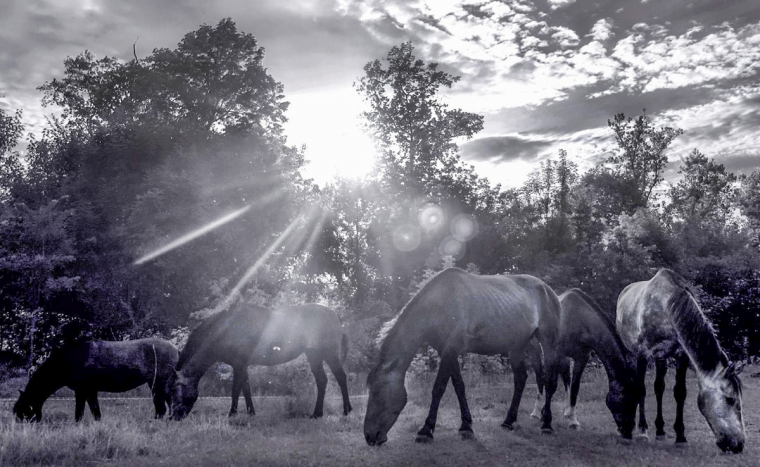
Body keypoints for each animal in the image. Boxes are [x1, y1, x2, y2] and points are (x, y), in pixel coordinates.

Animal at [12, 338, 179, 422]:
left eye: (23, 414)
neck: (69, 360)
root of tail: (175, 349)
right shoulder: (89, 392)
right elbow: (95, 412)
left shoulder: (82, 391)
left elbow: (80, 413)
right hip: (155, 384)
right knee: (162, 407)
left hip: (161, 383)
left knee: (168, 404)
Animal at [169, 304, 350, 420]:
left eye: (175, 391)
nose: (172, 417)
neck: (227, 328)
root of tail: (335, 315)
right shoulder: (240, 366)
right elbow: (246, 388)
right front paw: (250, 412)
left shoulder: (239, 364)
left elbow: (236, 389)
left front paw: (232, 413)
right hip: (314, 355)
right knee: (322, 381)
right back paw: (317, 414)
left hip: (329, 354)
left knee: (341, 377)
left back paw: (346, 410)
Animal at [362, 266, 564, 446]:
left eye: (377, 392)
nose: (369, 436)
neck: (439, 305)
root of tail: (548, 290)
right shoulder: (447, 351)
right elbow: (459, 386)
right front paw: (466, 427)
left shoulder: (451, 350)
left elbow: (439, 388)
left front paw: (426, 431)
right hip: (518, 345)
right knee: (520, 379)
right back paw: (508, 422)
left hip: (548, 342)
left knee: (550, 381)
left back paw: (546, 424)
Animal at [616, 268, 744, 456]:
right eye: (730, 399)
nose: (738, 445)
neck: (664, 306)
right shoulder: (642, 354)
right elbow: (640, 390)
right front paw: (635, 432)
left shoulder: (680, 356)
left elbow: (680, 393)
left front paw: (680, 437)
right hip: (635, 353)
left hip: (661, 357)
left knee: (659, 388)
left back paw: (660, 431)